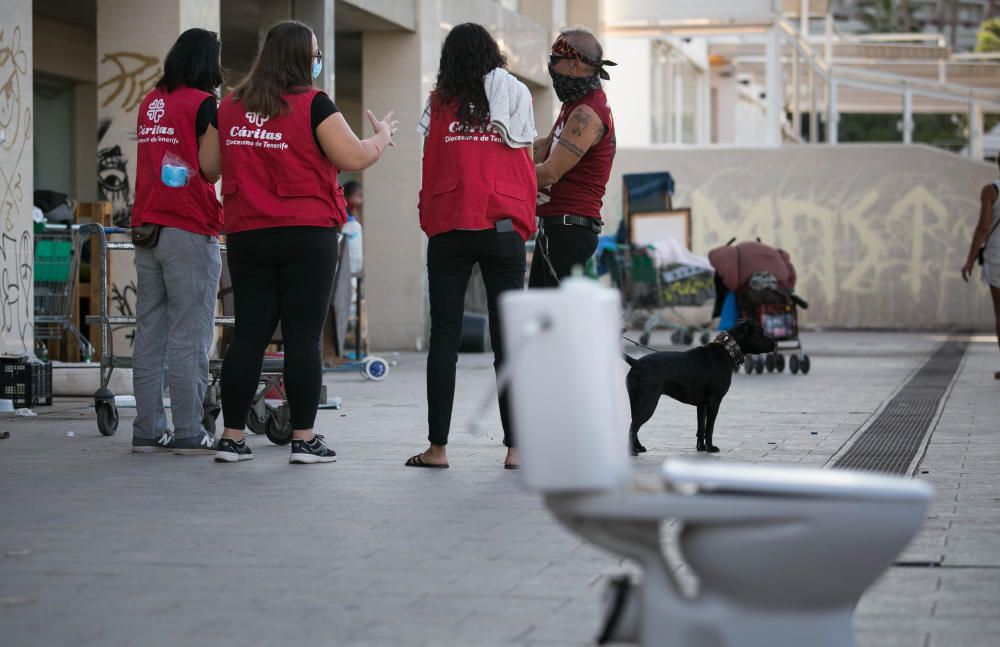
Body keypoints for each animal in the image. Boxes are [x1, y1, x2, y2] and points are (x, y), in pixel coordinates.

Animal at [624, 320, 772, 456]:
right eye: (761, 333)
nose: (774, 343)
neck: (727, 350)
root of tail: (636, 363)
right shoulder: (714, 402)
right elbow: (709, 428)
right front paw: (710, 448)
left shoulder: (702, 405)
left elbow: (701, 427)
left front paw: (701, 447)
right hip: (648, 404)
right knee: (633, 427)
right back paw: (633, 451)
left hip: (636, 403)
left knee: (634, 426)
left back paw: (639, 448)